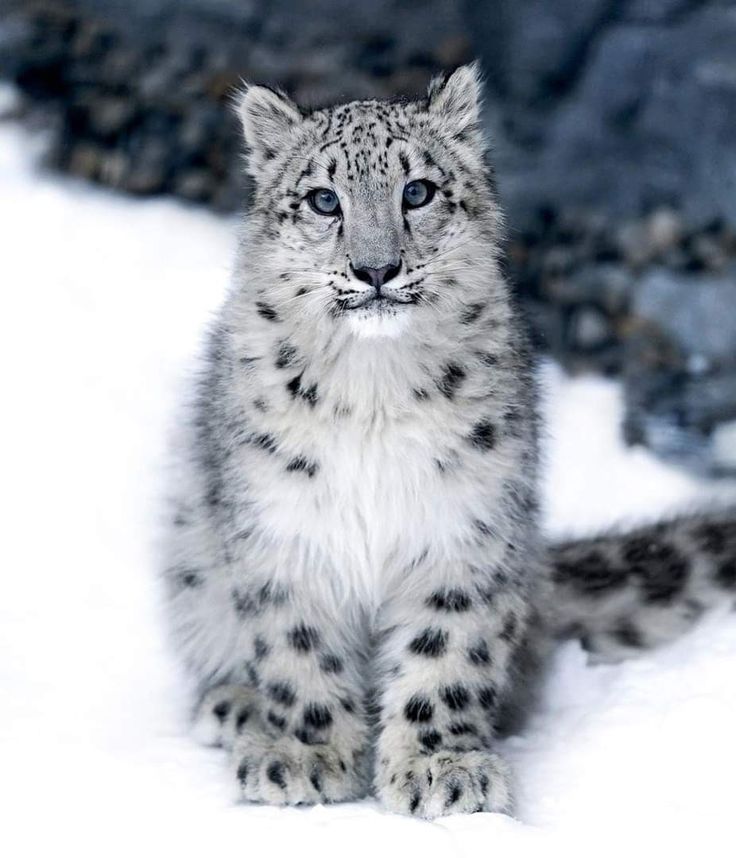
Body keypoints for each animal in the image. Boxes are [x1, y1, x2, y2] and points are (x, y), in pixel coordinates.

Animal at [165, 65, 736, 816]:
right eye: (323, 199)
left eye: (418, 191)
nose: (376, 268)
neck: (373, 390)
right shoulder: (287, 527)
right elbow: (300, 645)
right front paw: (306, 754)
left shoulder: (464, 524)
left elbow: (447, 648)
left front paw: (442, 768)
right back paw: (236, 706)